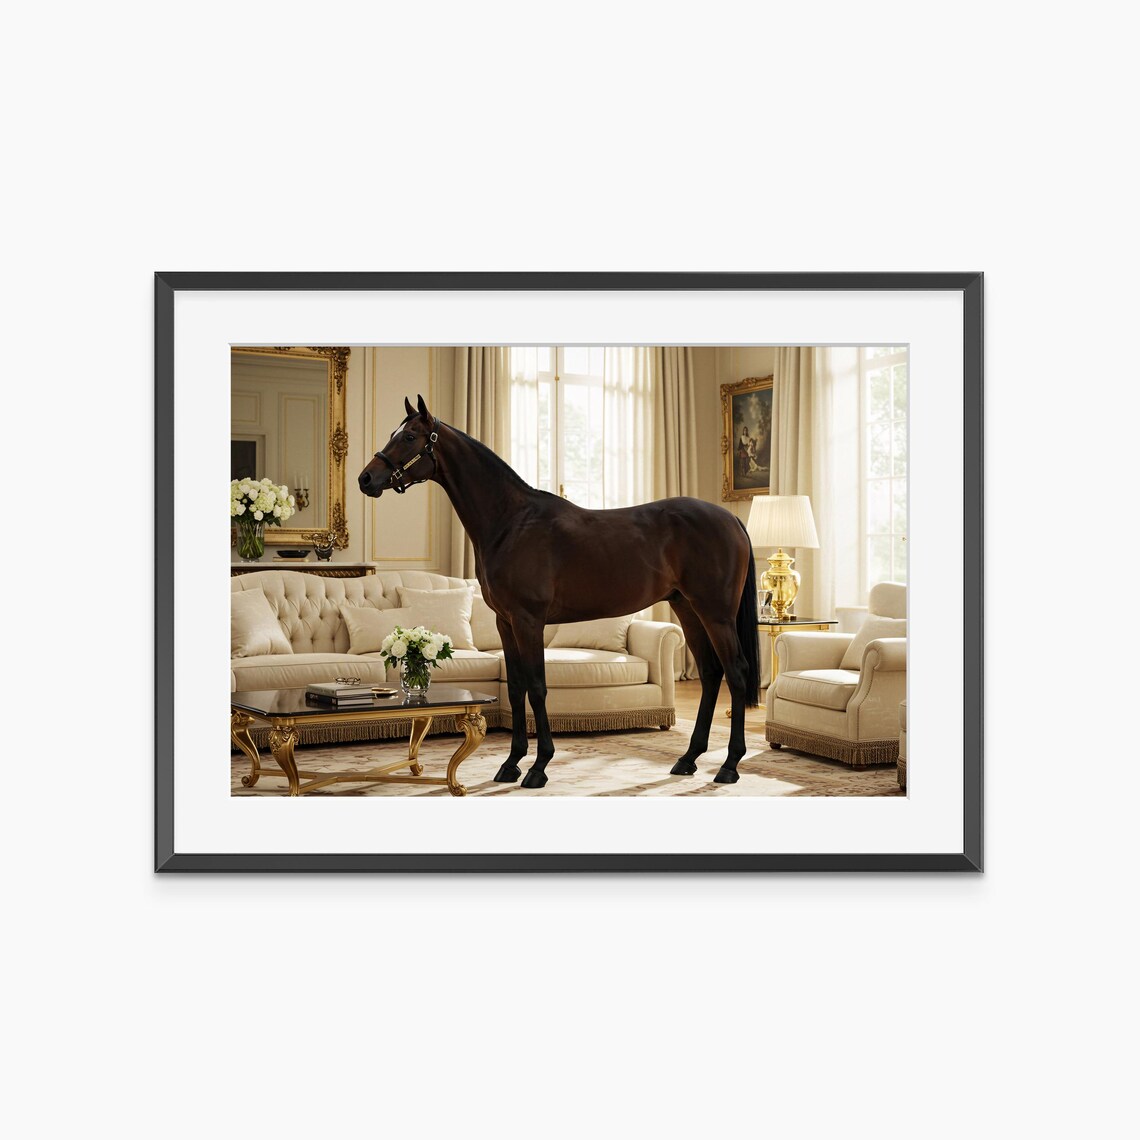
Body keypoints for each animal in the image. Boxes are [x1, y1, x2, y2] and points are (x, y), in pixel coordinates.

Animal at [359, 395, 760, 789]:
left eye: (409, 437)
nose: (366, 478)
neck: (510, 523)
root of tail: (731, 519)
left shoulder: (528, 620)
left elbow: (537, 687)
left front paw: (539, 767)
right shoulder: (506, 622)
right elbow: (516, 687)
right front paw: (511, 764)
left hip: (715, 613)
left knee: (736, 672)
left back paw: (729, 765)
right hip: (687, 608)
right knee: (711, 672)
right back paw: (689, 758)